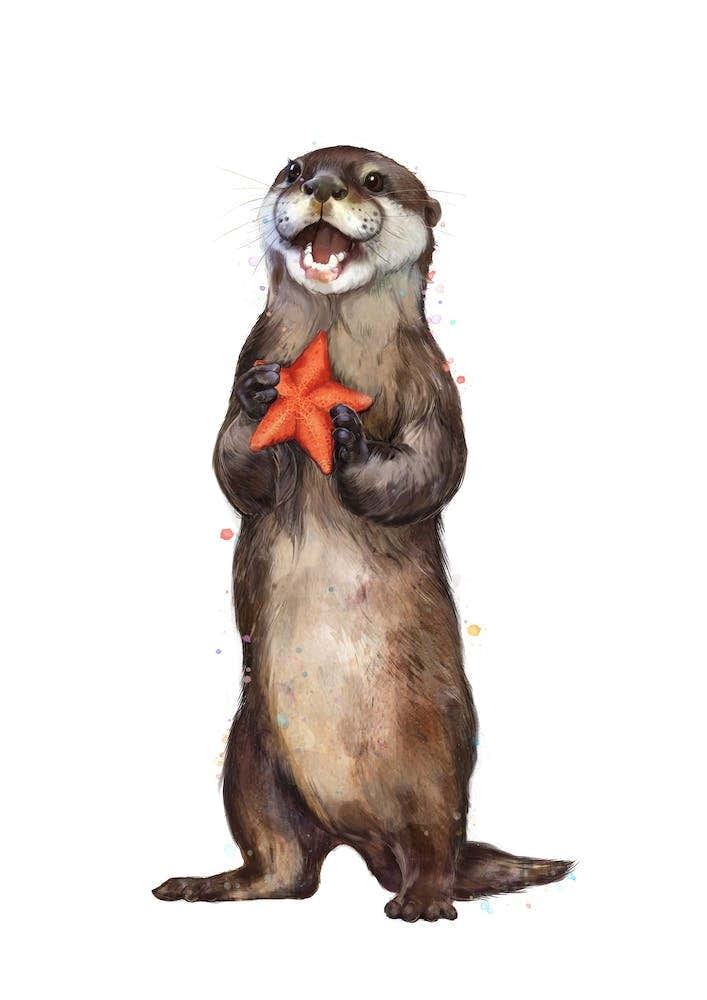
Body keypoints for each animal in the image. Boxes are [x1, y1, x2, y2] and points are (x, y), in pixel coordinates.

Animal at [153, 145, 572, 921]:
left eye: (374, 180)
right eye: (294, 168)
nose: (321, 186)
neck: (337, 349)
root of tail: (355, 833)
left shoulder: (435, 387)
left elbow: (434, 469)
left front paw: (350, 442)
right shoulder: (248, 355)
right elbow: (232, 465)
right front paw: (262, 401)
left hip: (435, 754)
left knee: (433, 842)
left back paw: (422, 901)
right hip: (251, 758)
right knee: (285, 870)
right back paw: (207, 886)